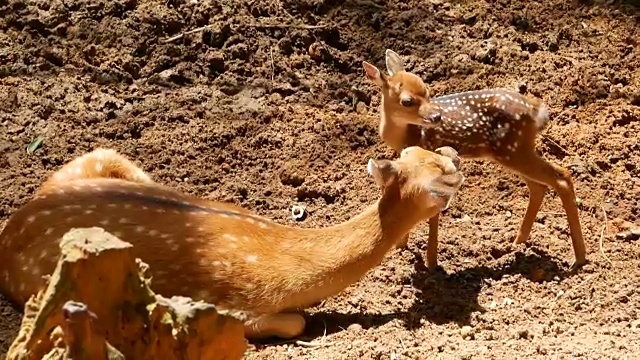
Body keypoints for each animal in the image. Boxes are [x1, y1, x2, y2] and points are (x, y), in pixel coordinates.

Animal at [0, 146, 462, 338]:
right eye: (441, 179)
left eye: (423, 150)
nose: (456, 158)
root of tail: (7, 235)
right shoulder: (234, 309)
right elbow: (297, 322)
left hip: (99, 158)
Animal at [360, 49, 584, 272]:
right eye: (407, 101)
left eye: (427, 91)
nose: (437, 117)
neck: (405, 136)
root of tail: (538, 110)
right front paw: (401, 249)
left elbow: (433, 213)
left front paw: (431, 265)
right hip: (514, 152)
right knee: (539, 186)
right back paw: (517, 243)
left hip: (514, 150)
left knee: (561, 177)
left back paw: (579, 259)